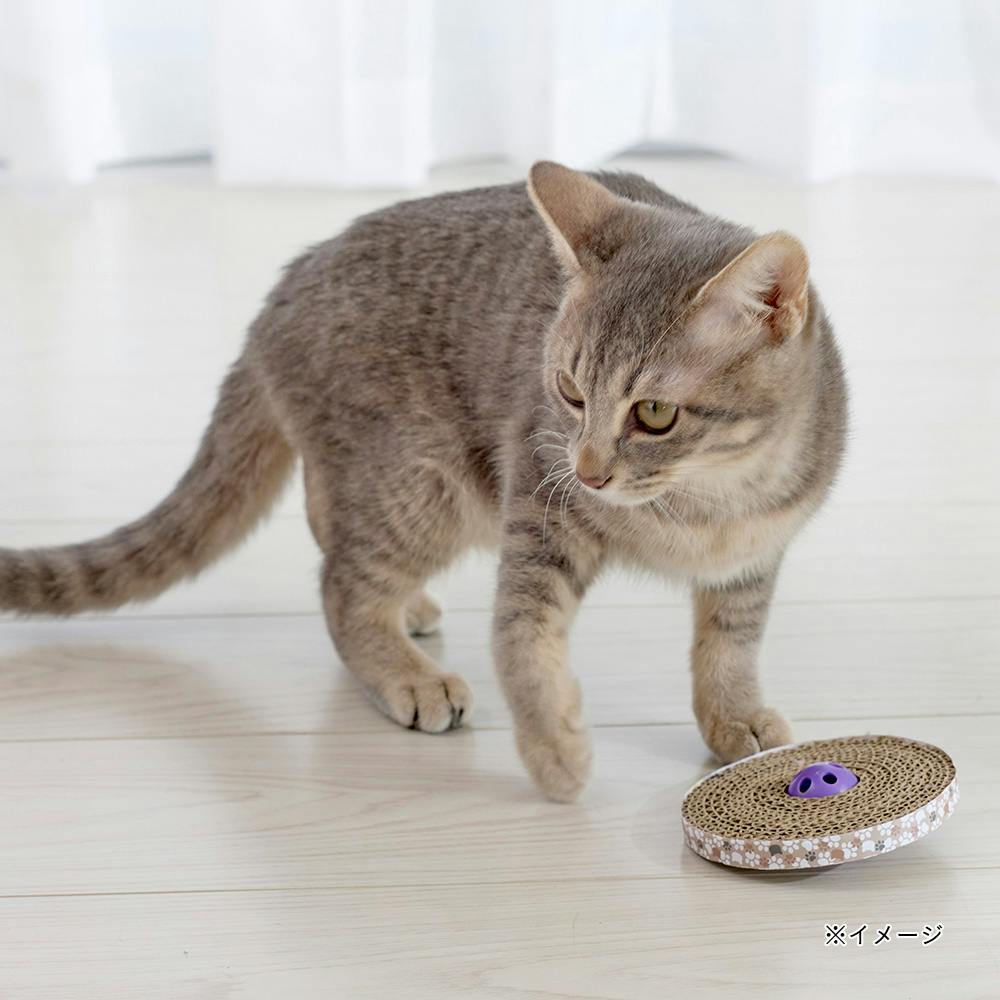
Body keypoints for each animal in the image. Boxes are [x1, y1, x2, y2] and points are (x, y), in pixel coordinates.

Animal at [0, 162, 847, 801]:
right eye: (569, 393)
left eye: (656, 414)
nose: (588, 470)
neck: (706, 504)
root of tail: (282, 288)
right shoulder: (537, 508)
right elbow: (520, 639)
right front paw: (552, 749)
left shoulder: (753, 560)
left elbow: (729, 646)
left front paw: (733, 718)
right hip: (426, 486)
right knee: (341, 585)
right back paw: (405, 669)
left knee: (329, 524)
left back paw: (405, 609)